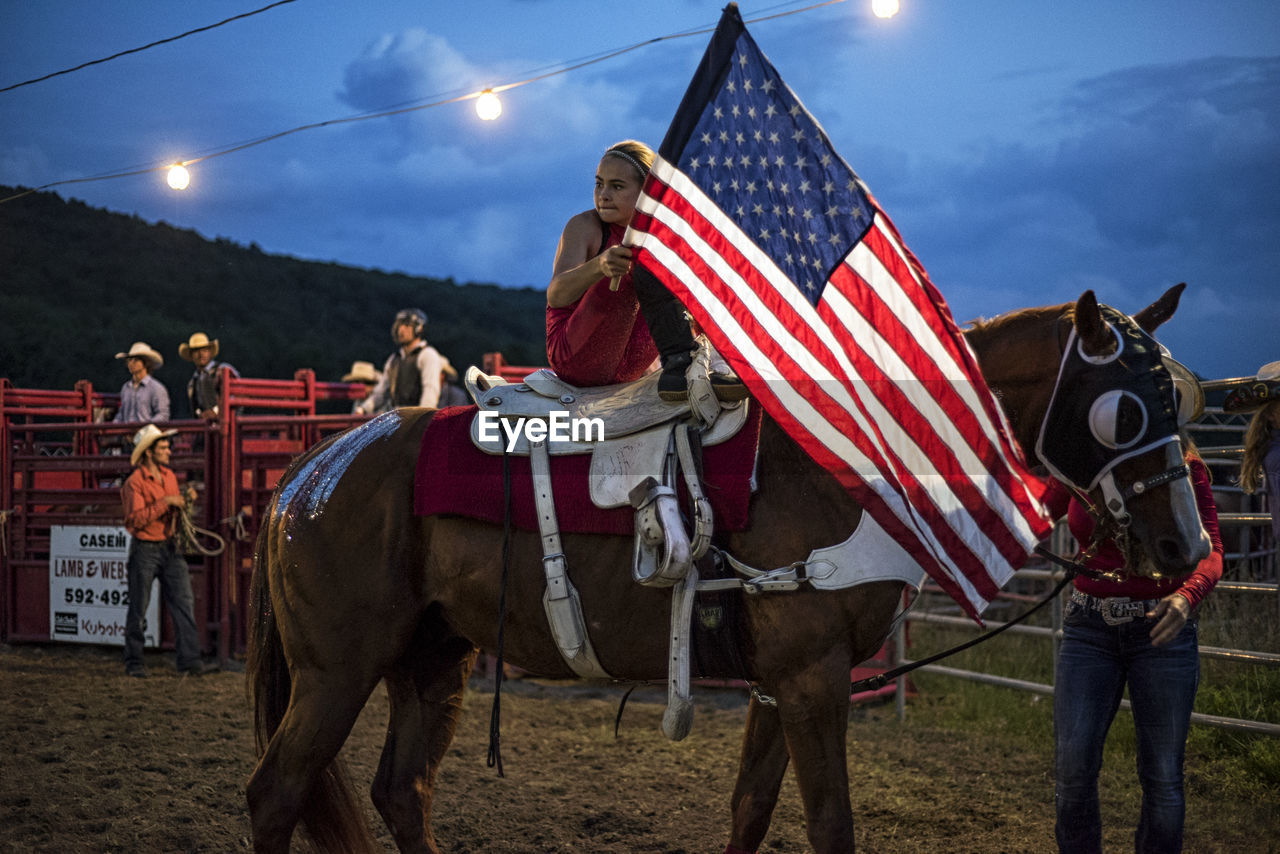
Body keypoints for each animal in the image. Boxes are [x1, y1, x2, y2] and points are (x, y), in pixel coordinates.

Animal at [244, 284, 1203, 850]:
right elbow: (829, 825)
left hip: (432, 660)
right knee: (276, 794)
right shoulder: (814, 678)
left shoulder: (781, 684)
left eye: (1179, 399)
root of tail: (309, 471)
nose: (1185, 548)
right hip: (338, 669)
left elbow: (752, 810)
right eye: (1125, 407)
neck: (839, 470)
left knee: (402, 792)